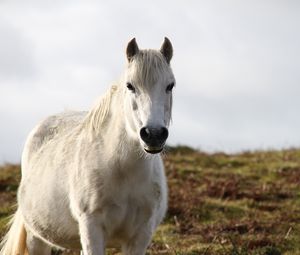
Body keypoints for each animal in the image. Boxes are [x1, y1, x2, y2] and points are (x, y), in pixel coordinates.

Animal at [0, 37, 175, 255]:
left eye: (170, 85)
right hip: (37, 238)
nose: (153, 134)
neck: (124, 172)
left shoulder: (140, 235)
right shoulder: (92, 228)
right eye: (130, 85)